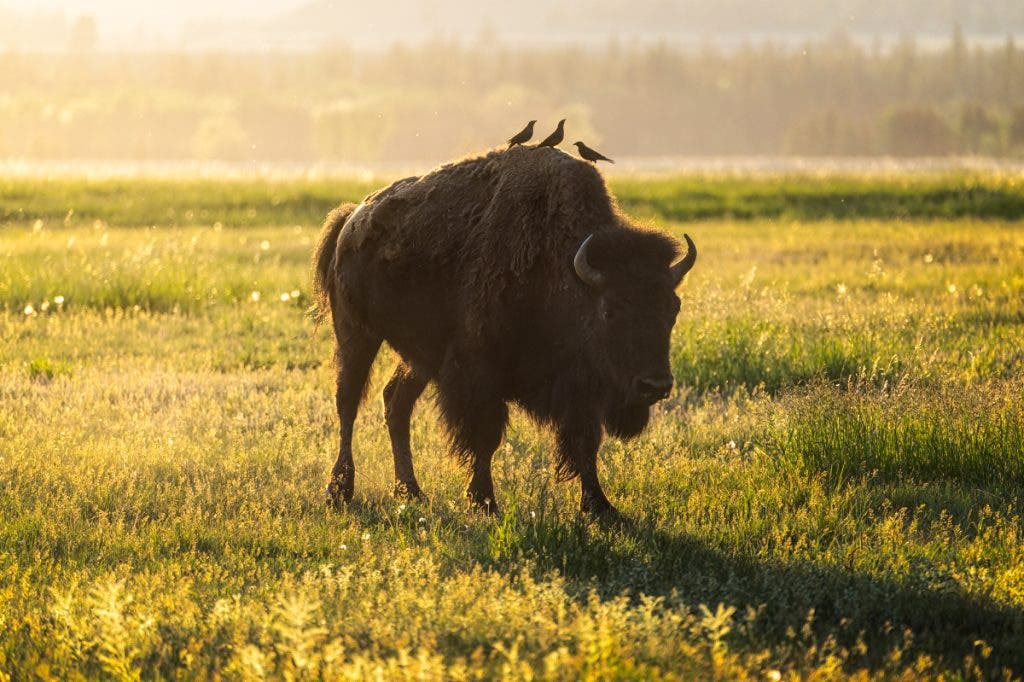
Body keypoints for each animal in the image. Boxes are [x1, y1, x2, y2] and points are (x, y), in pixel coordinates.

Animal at [312, 146, 695, 517]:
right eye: (609, 310)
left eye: (672, 308)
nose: (655, 385)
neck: (567, 276)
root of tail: (351, 218)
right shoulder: (479, 375)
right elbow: (486, 439)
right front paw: (484, 502)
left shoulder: (581, 389)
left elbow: (584, 443)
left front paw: (601, 507)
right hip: (356, 334)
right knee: (348, 404)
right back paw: (339, 490)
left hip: (418, 358)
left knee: (396, 403)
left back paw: (412, 492)